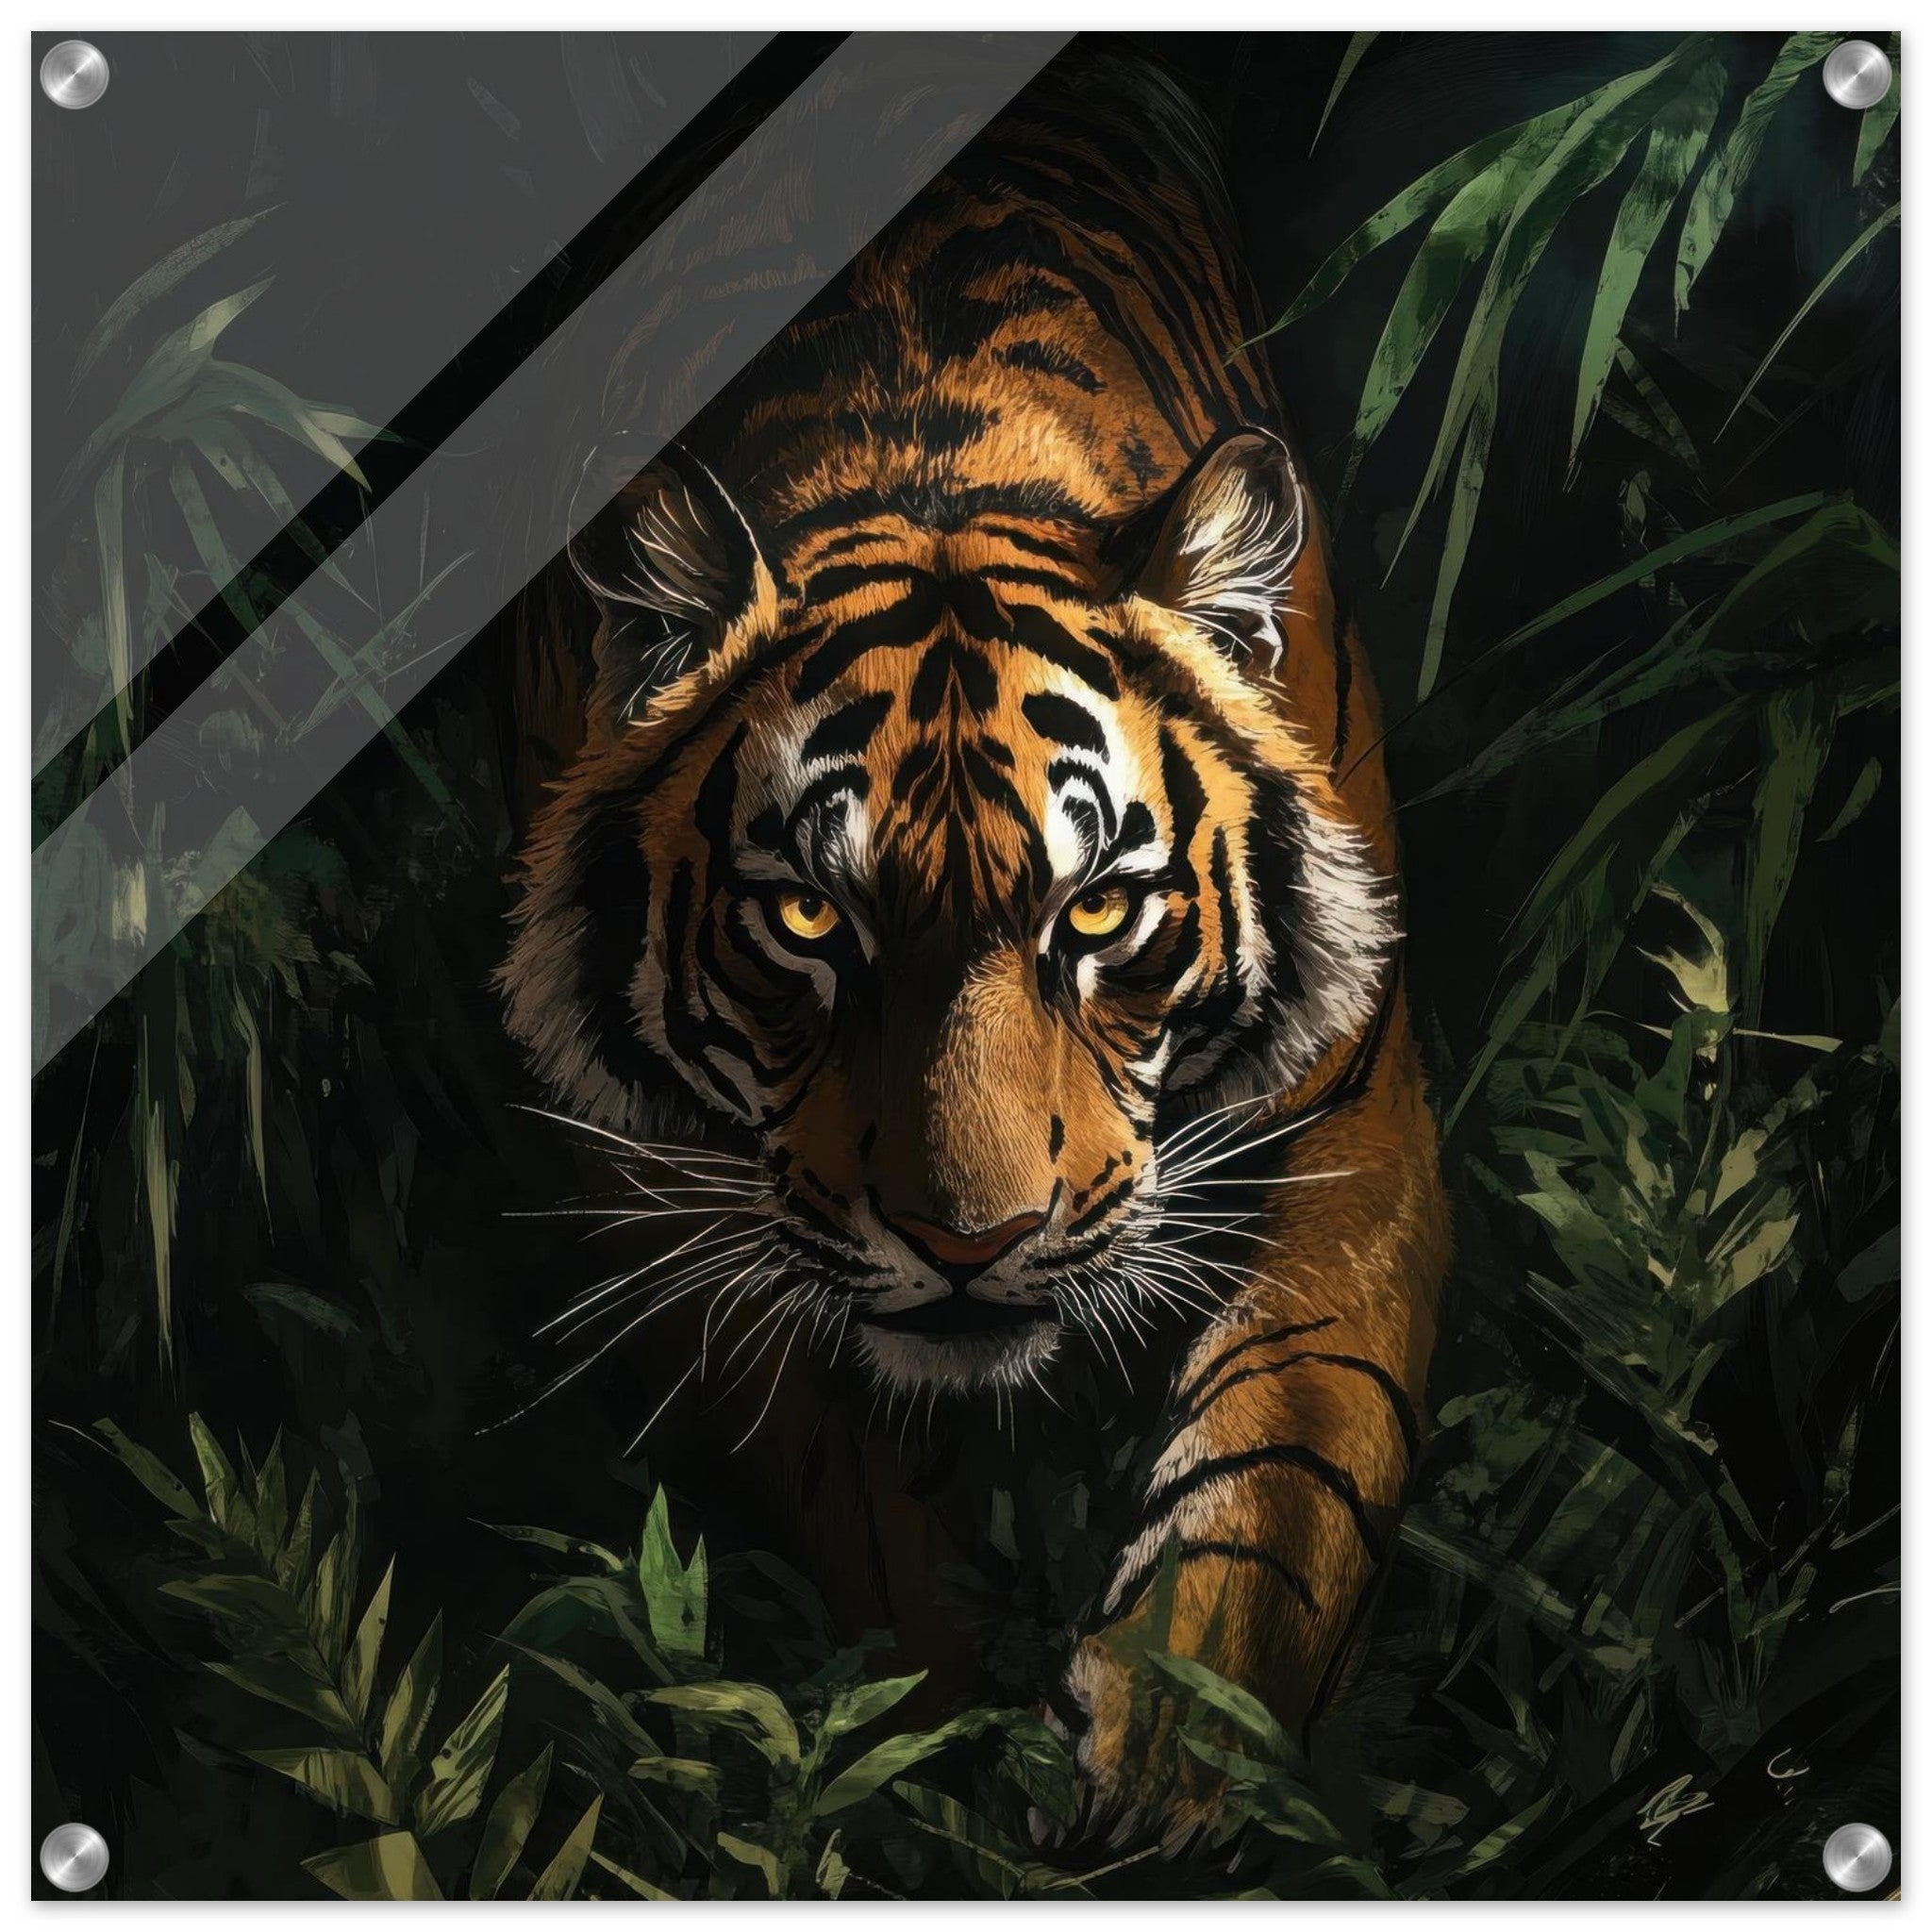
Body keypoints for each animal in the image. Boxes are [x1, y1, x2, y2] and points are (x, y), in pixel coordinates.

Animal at [501, 47, 1449, 1836]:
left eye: (1097, 910)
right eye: (810, 916)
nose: (970, 1242)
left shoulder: (1351, 1137)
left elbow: (1282, 1474)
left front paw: (1168, 1752)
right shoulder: (674, 1193)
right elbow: (867, 1516)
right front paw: (926, 1755)